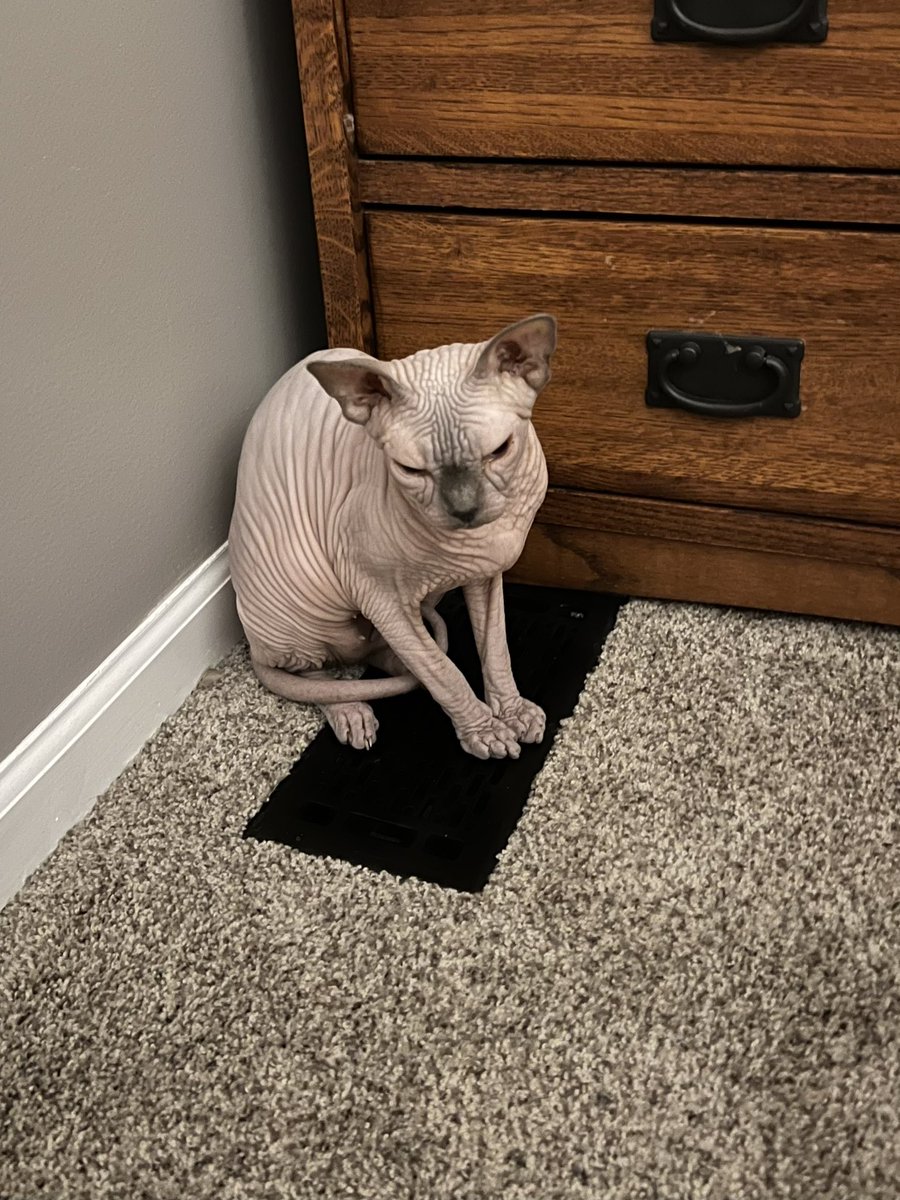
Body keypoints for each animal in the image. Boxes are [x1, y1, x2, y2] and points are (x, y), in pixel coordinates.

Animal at [226, 314, 556, 753]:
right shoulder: (378, 595)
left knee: (395, 653)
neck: (478, 539)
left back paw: (406, 666)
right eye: (410, 470)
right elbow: (445, 675)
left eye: (499, 451)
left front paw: (512, 711)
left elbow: (494, 648)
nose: (464, 510)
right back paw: (351, 709)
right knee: (321, 674)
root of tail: (257, 648)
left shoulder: (485, 573)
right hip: (306, 610)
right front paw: (483, 730)